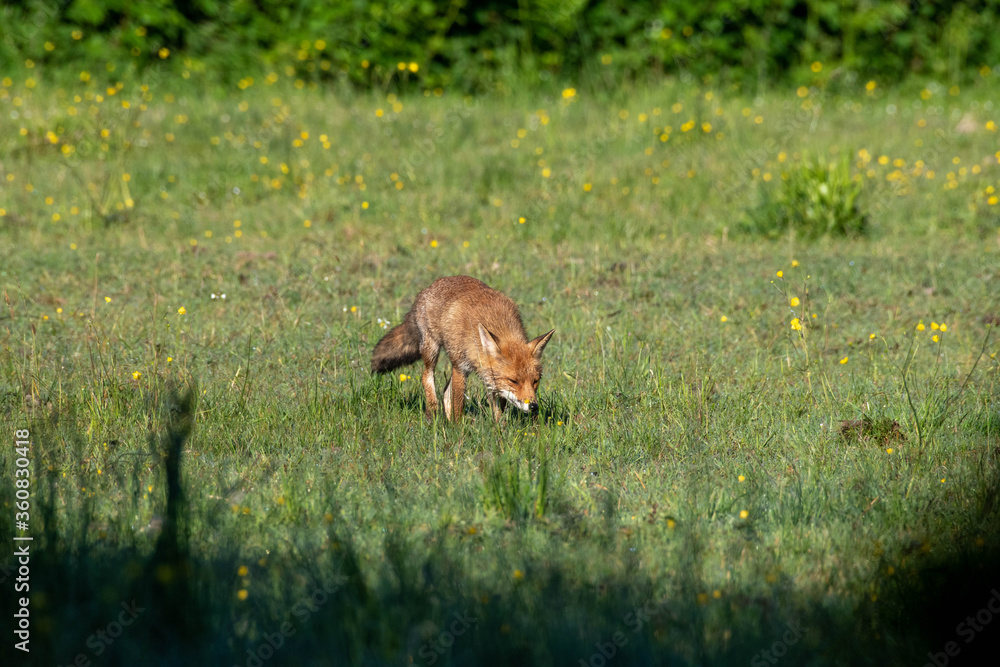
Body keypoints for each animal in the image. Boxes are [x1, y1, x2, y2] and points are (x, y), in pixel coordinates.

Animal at [371, 276, 554, 422]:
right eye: (513, 381)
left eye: (535, 381)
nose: (534, 407)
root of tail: (429, 287)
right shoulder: (460, 367)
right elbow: (458, 405)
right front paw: (458, 431)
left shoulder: (490, 379)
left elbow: (498, 410)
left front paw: (500, 432)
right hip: (432, 350)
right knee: (426, 378)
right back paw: (433, 415)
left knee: (445, 390)